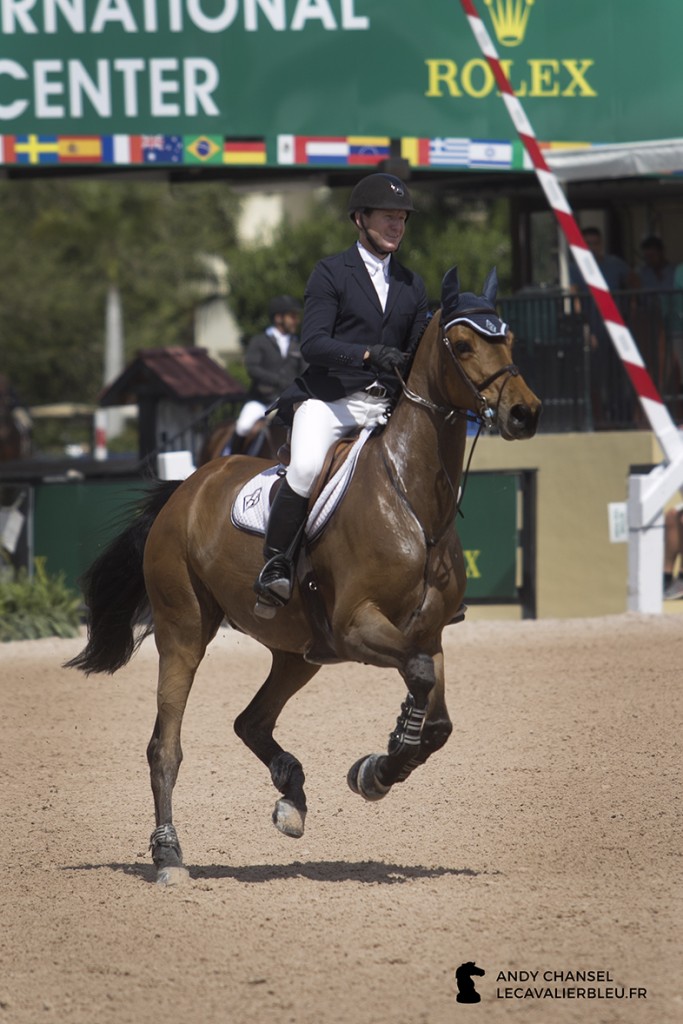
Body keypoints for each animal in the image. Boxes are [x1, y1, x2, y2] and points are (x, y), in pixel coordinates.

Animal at [66, 268, 540, 884]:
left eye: (509, 339)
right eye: (462, 345)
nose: (524, 414)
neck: (412, 500)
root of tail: (186, 488)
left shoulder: (428, 631)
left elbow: (436, 717)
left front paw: (381, 764)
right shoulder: (358, 626)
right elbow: (416, 675)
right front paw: (381, 764)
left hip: (300, 652)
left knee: (250, 721)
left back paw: (291, 796)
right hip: (184, 632)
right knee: (164, 747)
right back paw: (169, 855)